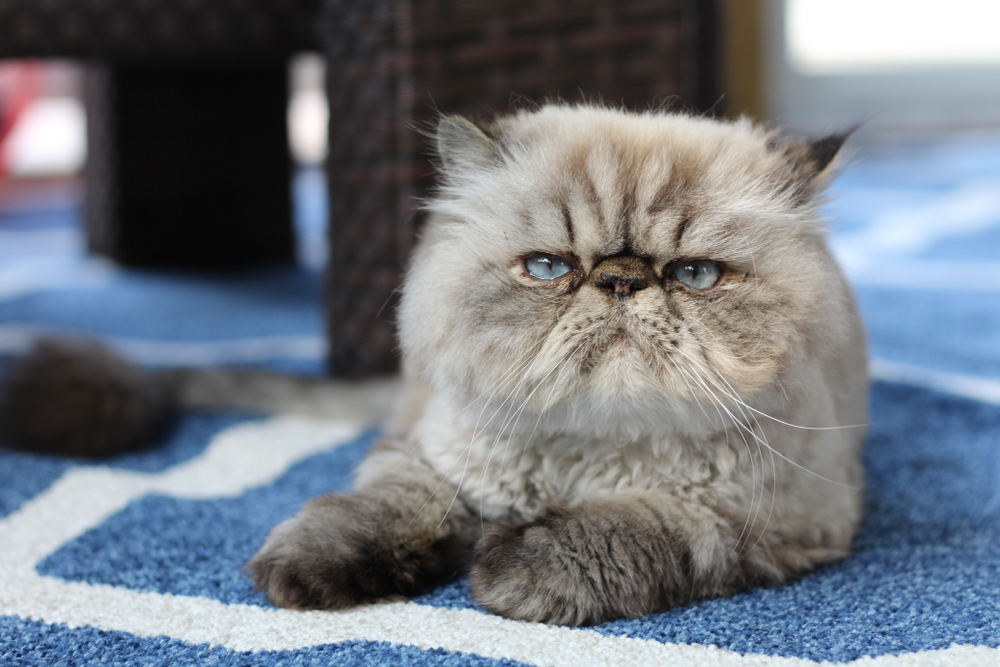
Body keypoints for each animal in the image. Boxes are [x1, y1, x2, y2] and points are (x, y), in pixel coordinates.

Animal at [0, 104, 868, 628]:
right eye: (549, 268)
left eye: (694, 276)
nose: (621, 282)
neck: (584, 455)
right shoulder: (421, 457)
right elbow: (381, 511)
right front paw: (312, 575)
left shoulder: (755, 523)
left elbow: (625, 529)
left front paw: (510, 572)